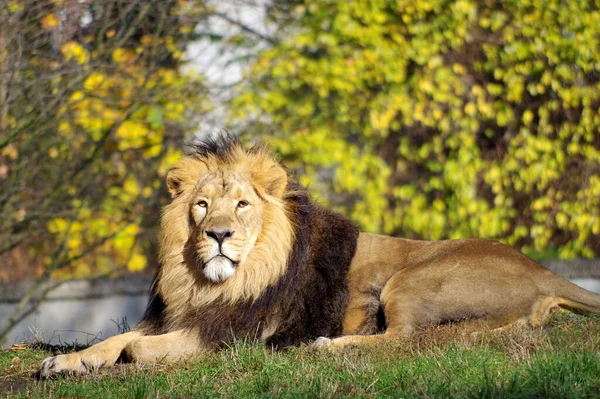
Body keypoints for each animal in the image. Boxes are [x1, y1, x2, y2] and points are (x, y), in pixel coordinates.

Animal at [38, 136, 600, 376]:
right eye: (201, 205)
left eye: (241, 205)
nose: (218, 233)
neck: (211, 282)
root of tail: (541, 270)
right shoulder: (180, 316)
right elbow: (115, 339)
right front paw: (63, 361)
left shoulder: (232, 335)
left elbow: (135, 348)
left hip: (410, 280)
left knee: (404, 339)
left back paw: (329, 346)